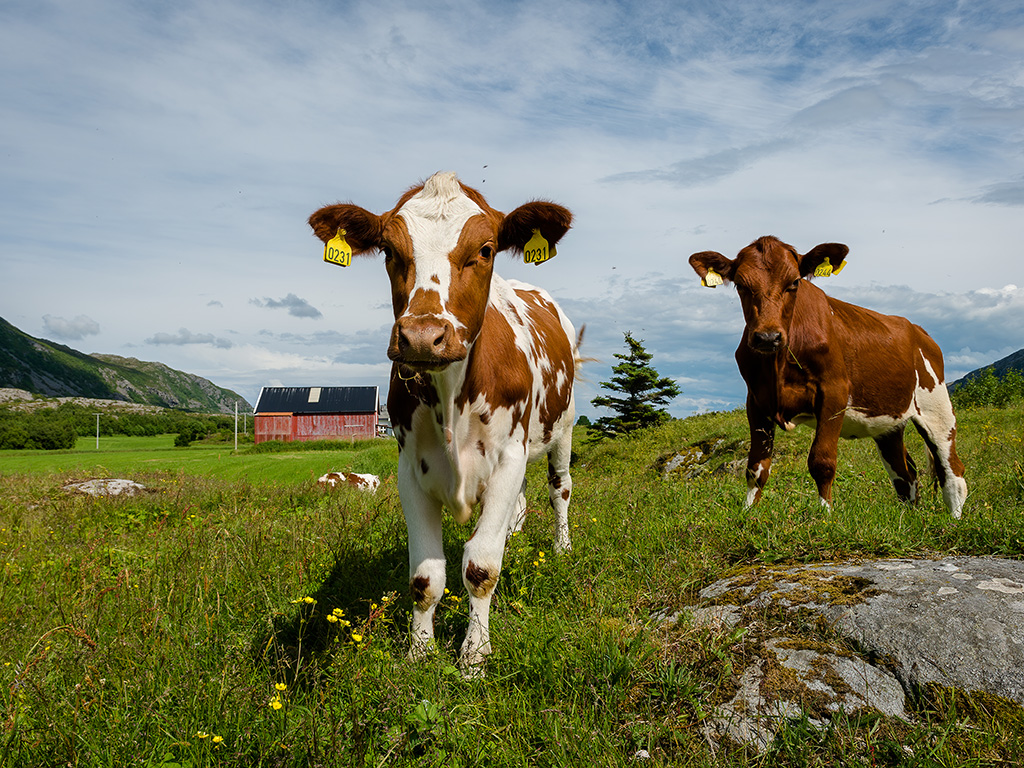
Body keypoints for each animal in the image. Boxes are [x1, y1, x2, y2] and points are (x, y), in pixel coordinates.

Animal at [307, 169, 581, 671]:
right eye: (389, 250)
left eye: (486, 249)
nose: (421, 336)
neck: (453, 396)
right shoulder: (409, 469)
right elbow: (425, 574)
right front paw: (419, 650)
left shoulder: (508, 456)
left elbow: (482, 566)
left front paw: (474, 656)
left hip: (564, 427)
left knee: (560, 489)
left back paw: (561, 546)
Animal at [688, 237, 966, 520]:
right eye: (741, 285)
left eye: (794, 282)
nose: (767, 337)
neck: (778, 364)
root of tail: (919, 331)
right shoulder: (755, 400)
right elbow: (756, 466)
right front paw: (748, 513)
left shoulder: (834, 393)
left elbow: (821, 461)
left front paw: (825, 516)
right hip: (889, 423)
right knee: (905, 474)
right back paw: (906, 519)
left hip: (937, 406)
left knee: (951, 469)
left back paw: (954, 520)